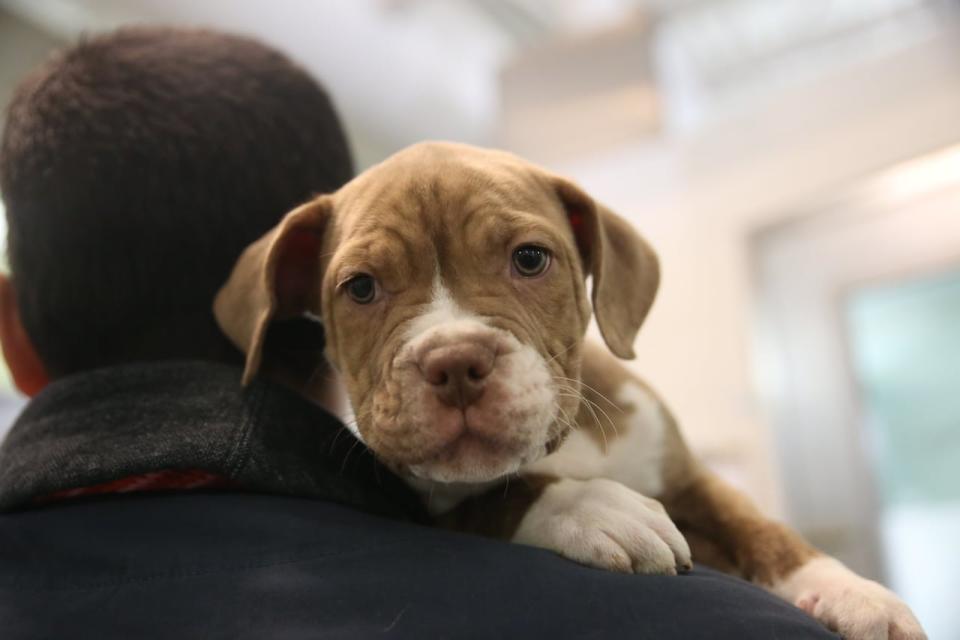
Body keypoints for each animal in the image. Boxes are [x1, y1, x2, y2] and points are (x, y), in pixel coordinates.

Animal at [216, 142, 924, 636]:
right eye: (360, 288)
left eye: (530, 258)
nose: (454, 361)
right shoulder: (424, 504)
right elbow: (498, 498)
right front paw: (590, 506)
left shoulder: (688, 474)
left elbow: (756, 523)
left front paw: (850, 591)